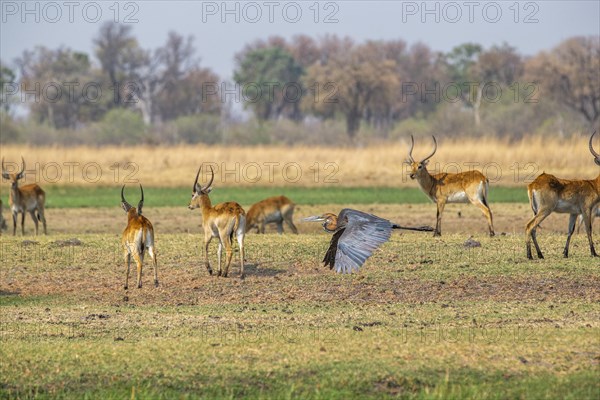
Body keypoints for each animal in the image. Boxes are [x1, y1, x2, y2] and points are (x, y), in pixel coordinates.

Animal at [524, 131, 600, 260]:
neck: (593, 185)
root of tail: (533, 184)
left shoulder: (574, 213)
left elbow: (570, 231)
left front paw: (565, 253)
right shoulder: (587, 209)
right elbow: (588, 229)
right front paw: (594, 253)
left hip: (537, 211)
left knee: (533, 229)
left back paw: (540, 255)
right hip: (545, 210)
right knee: (530, 226)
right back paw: (530, 256)